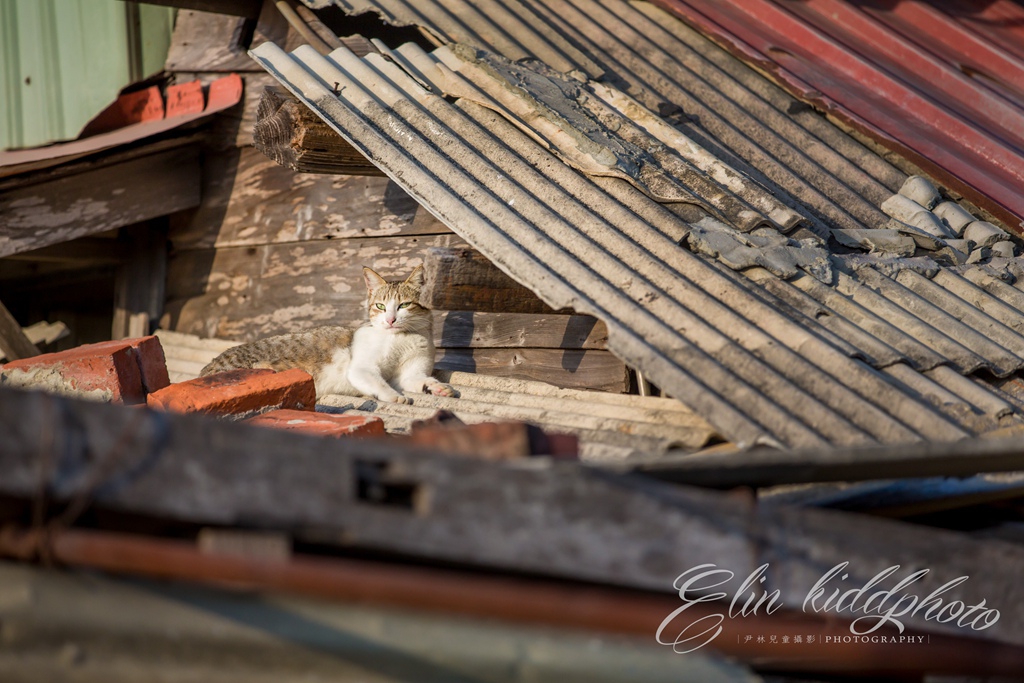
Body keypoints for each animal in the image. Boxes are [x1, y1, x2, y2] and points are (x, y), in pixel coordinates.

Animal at [199, 266, 456, 405]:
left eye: (403, 305)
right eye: (381, 306)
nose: (390, 320)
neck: (403, 339)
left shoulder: (409, 374)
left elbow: (419, 380)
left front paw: (438, 388)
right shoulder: (362, 369)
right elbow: (380, 384)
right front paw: (395, 397)